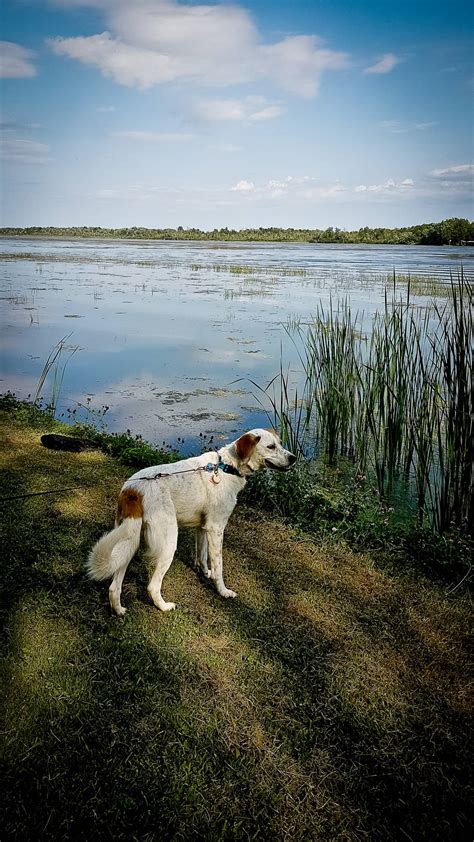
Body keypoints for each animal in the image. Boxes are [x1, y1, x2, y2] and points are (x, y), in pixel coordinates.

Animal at [87, 430, 294, 612]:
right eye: (271, 446)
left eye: (280, 443)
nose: (294, 458)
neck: (227, 467)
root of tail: (132, 490)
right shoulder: (216, 528)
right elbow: (218, 566)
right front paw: (222, 591)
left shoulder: (203, 528)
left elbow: (201, 557)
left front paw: (204, 573)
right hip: (169, 542)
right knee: (152, 586)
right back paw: (164, 607)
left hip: (129, 540)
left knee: (114, 586)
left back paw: (118, 610)